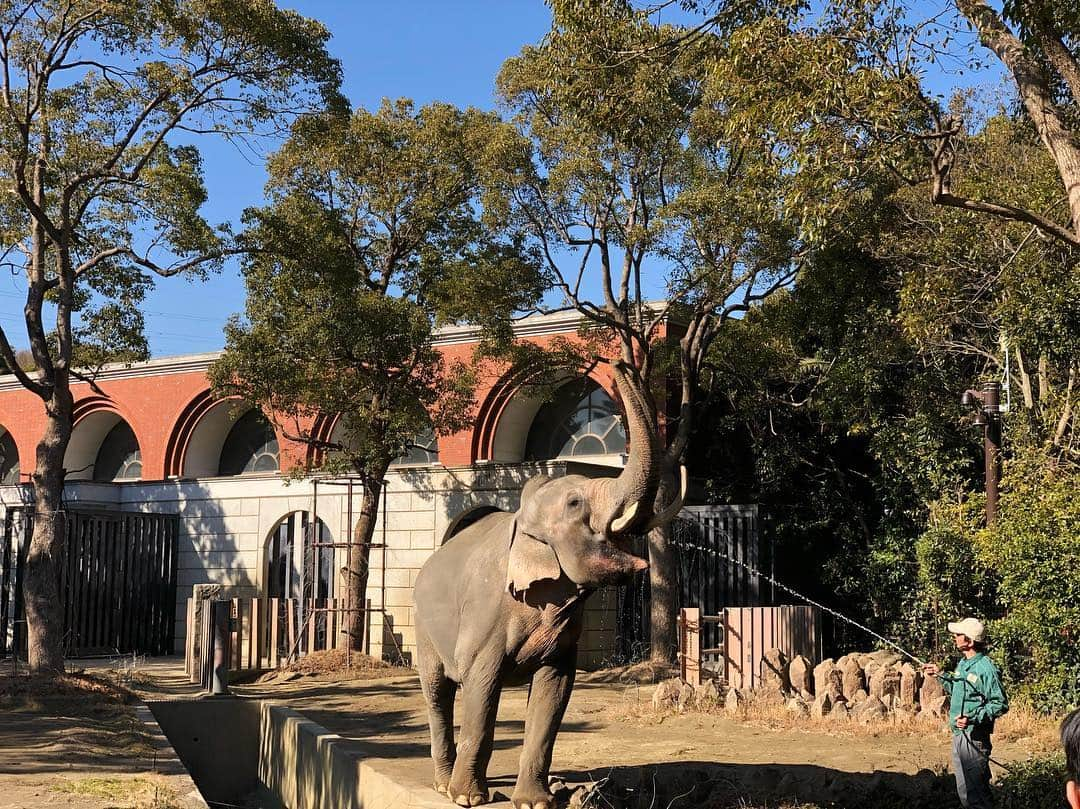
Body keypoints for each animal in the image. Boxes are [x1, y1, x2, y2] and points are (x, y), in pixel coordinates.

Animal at [412, 365, 682, 807]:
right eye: (575, 504)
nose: (623, 367)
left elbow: (553, 693)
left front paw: (535, 801)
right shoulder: (485, 619)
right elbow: (481, 687)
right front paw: (470, 799)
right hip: (422, 627)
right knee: (437, 692)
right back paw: (442, 785)